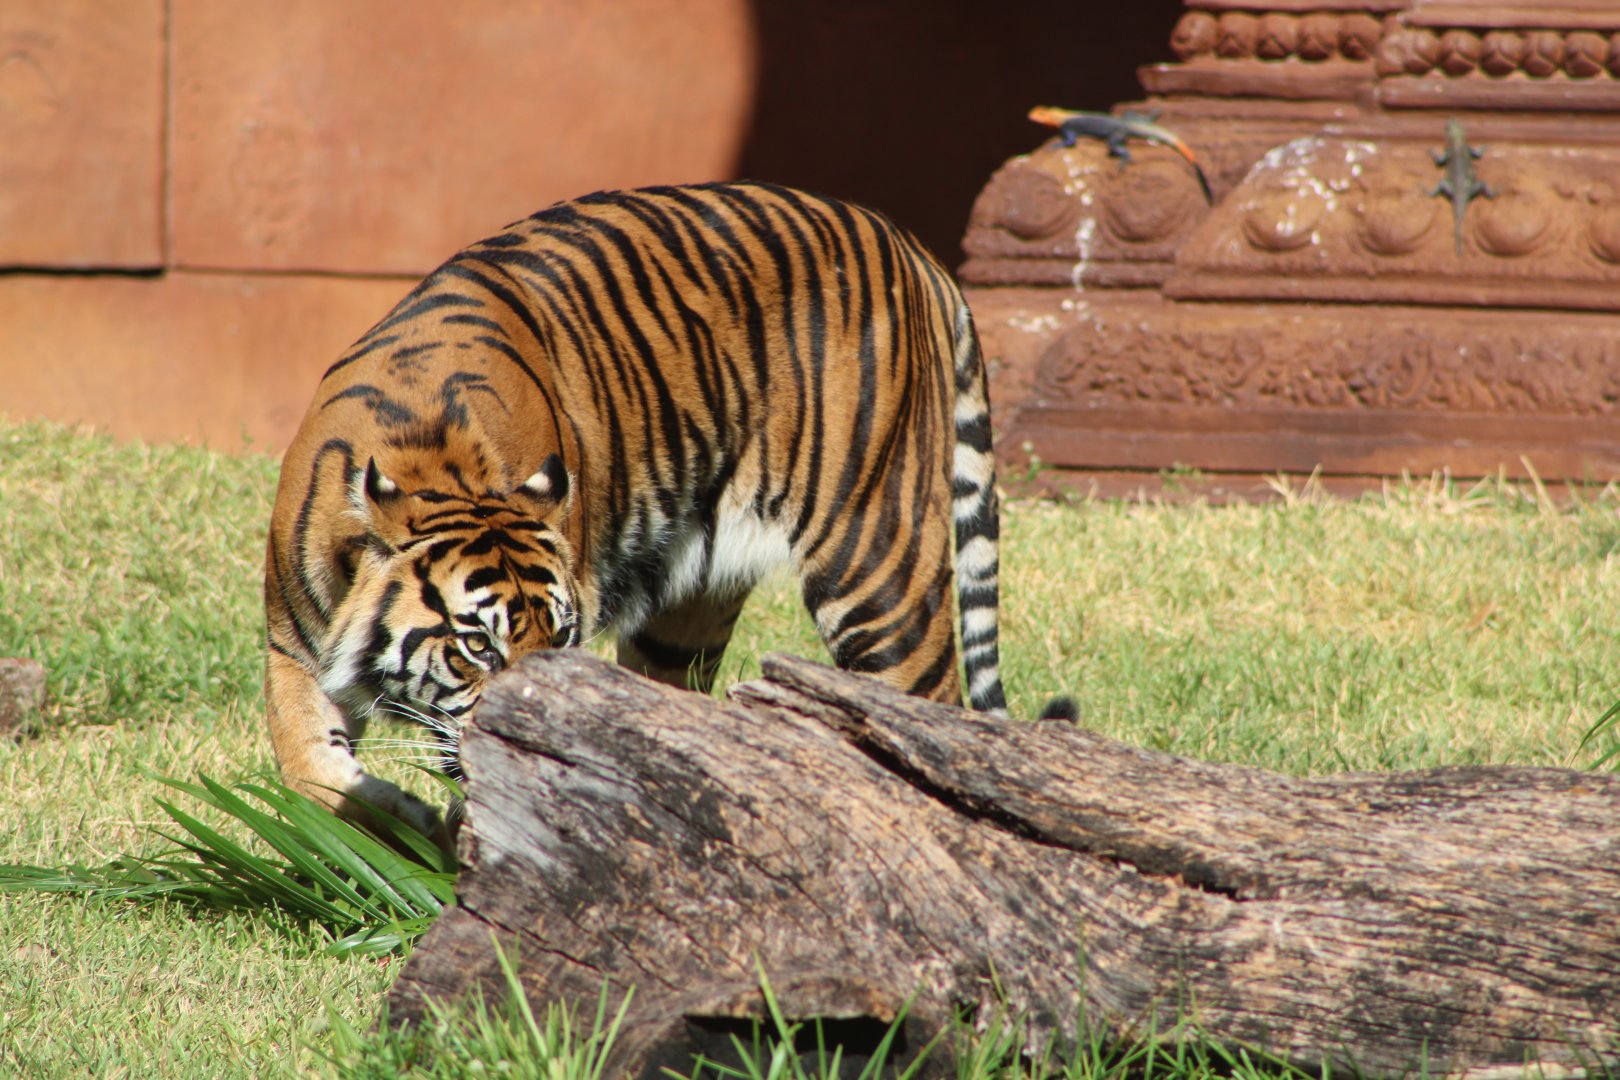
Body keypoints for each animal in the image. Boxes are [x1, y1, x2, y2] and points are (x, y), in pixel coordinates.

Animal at [264, 180, 1010, 840]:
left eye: (562, 638)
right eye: (477, 645)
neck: (436, 458)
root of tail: (909, 245)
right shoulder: (292, 646)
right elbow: (308, 774)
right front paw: (402, 828)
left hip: (878, 571)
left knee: (931, 710)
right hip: (685, 616)